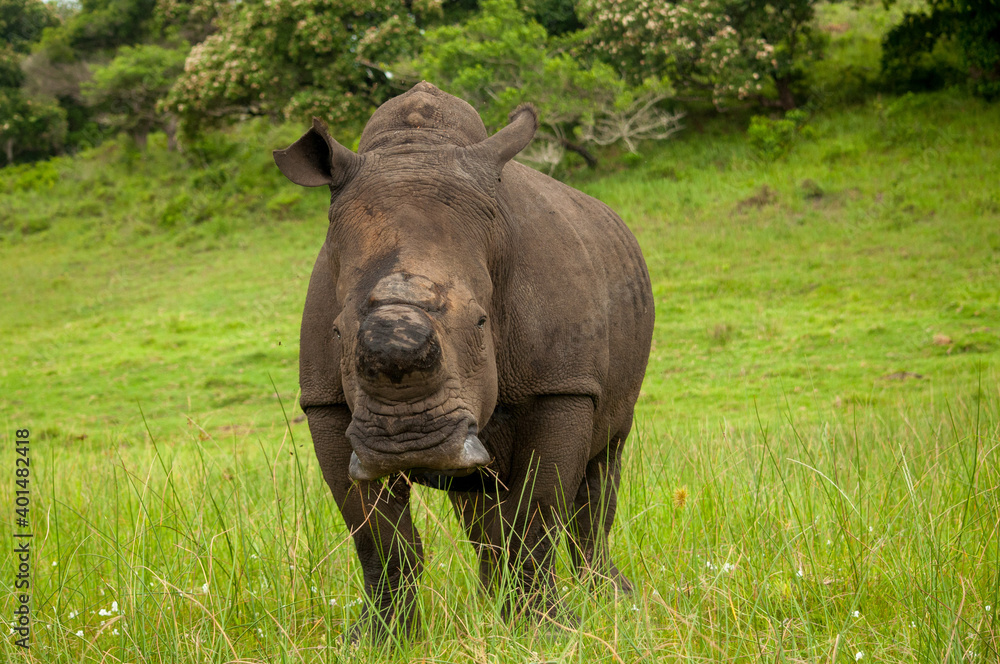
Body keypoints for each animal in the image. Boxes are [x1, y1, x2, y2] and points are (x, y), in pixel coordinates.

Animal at [273, 81, 654, 637]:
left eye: (480, 323)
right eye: (338, 331)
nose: (408, 443)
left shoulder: (562, 386)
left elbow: (537, 514)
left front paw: (546, 630)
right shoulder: (326, 403)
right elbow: (376, 536)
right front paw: (378, 639)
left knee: (601, 470)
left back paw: (610, 599)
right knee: (480, 498)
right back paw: (493, 604)